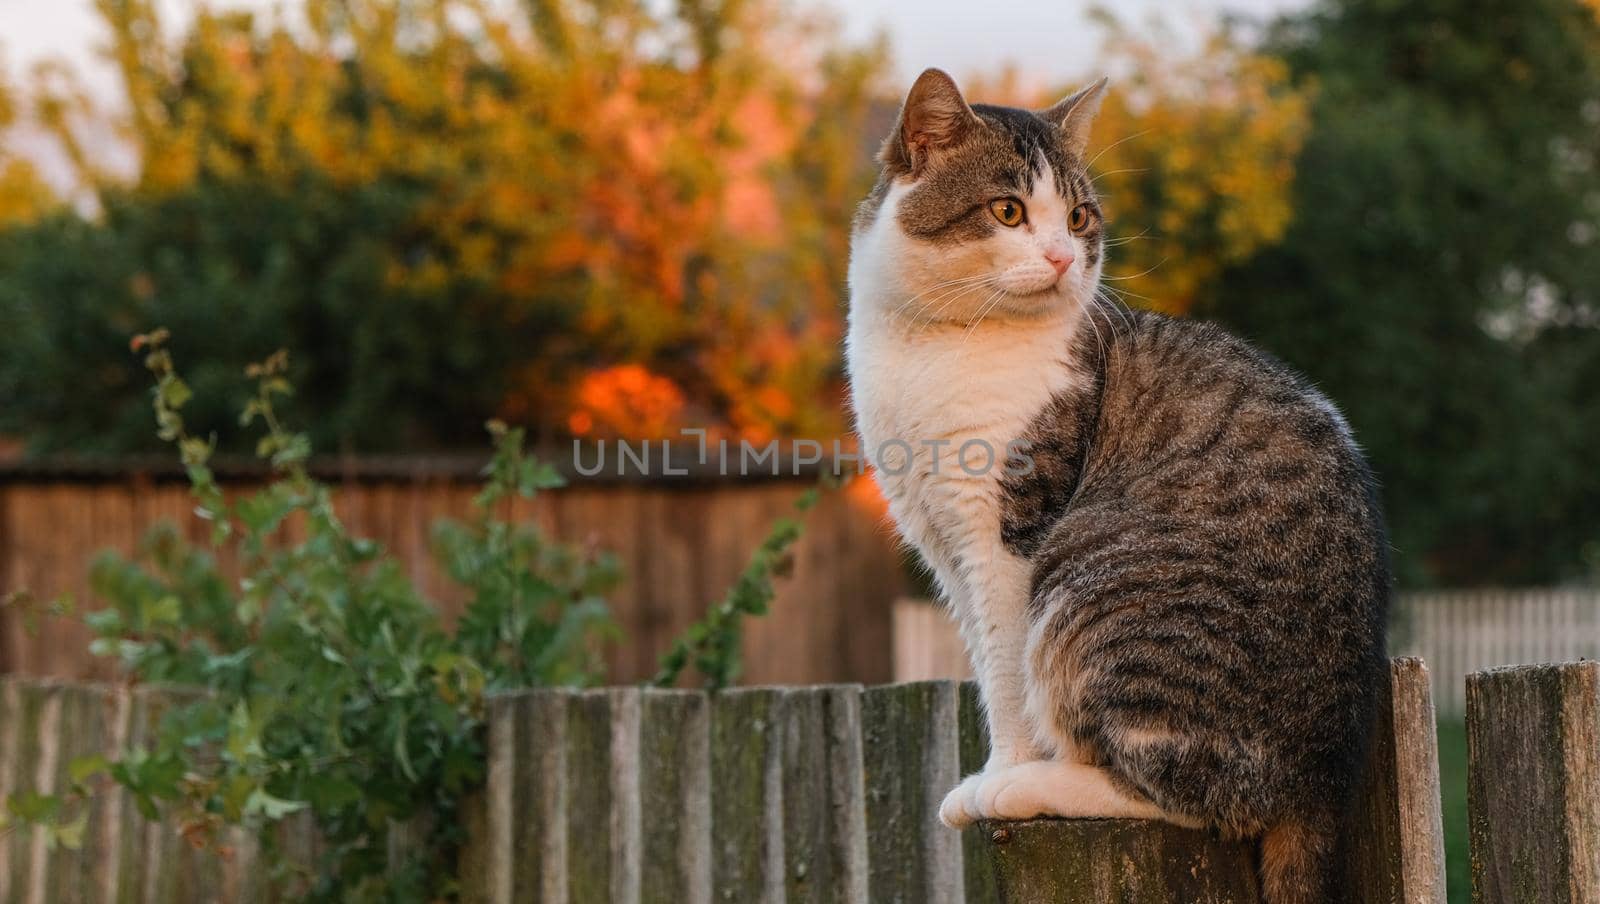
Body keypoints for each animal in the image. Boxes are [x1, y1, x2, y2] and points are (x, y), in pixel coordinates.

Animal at [851, 68, 1388, 902]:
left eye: (1078, 218)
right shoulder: (942, 544)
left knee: (1188, 794)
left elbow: (1006, 672)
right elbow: (982, 658)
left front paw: (1003, 771)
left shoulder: (1007, 531)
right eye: (1008, 210)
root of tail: (1323, 780)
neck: (931, 346)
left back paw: (1036, 786)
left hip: (1097, 588)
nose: (1063, 258)